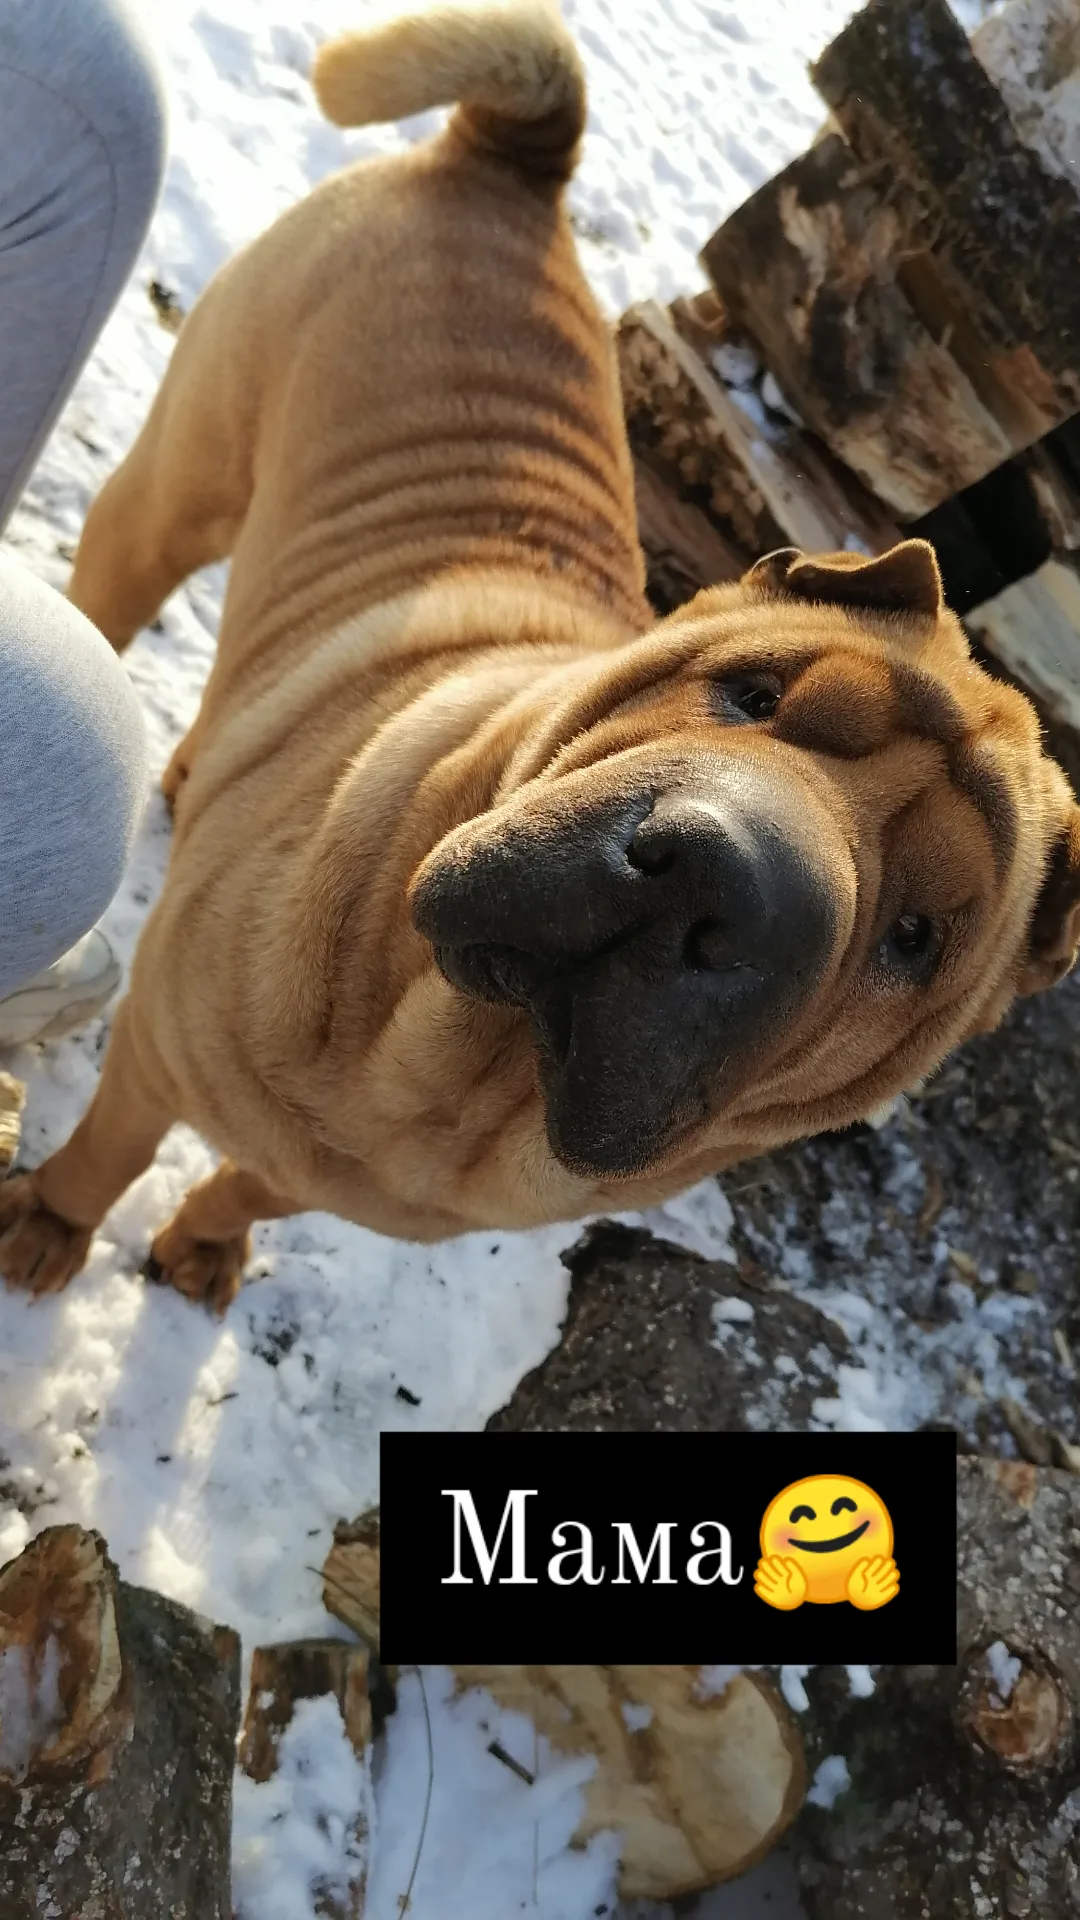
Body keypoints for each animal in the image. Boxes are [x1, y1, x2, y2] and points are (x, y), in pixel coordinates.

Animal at [0, 0, 1078, 1314]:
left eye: (915, 938)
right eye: (751, 695)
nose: (719, 880)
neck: (450, 1075)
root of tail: (519, 164)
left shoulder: (365, 1188)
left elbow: (248, 1187)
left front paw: (209, 1244)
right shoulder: (160, 1044)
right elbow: (111, 1150)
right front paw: (49, 1222)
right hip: (176, 495)